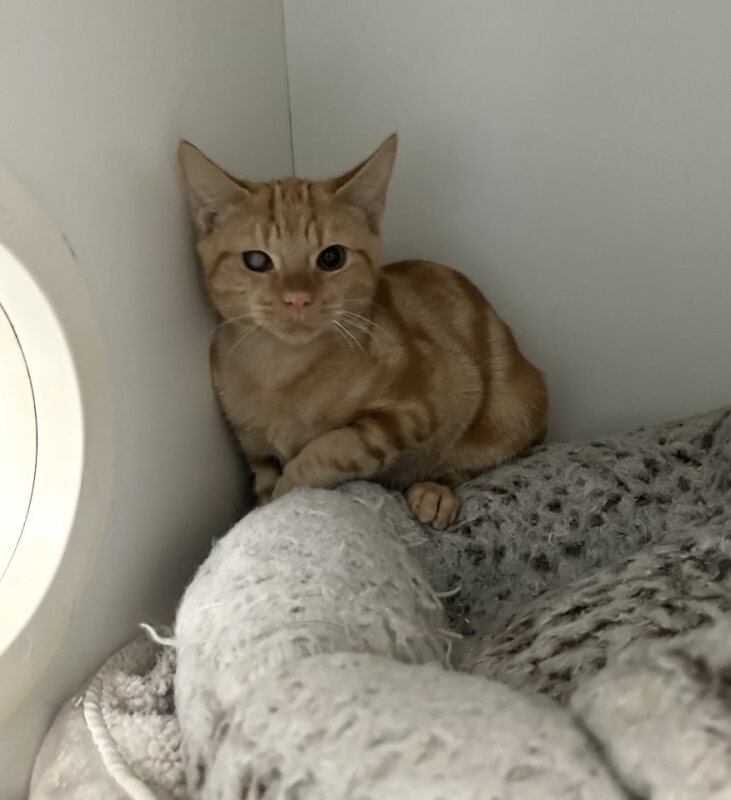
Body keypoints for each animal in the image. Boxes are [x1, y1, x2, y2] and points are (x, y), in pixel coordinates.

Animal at [178, 134, 548, 529]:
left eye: (331, 257)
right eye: (257, 260)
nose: (298, 298)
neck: (281, 371)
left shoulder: (417, 407)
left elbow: (331, 448)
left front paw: (285, 498)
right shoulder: (254, 445)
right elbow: (266, 478)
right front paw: (266, 509)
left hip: (512, 409)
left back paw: (435, 492)